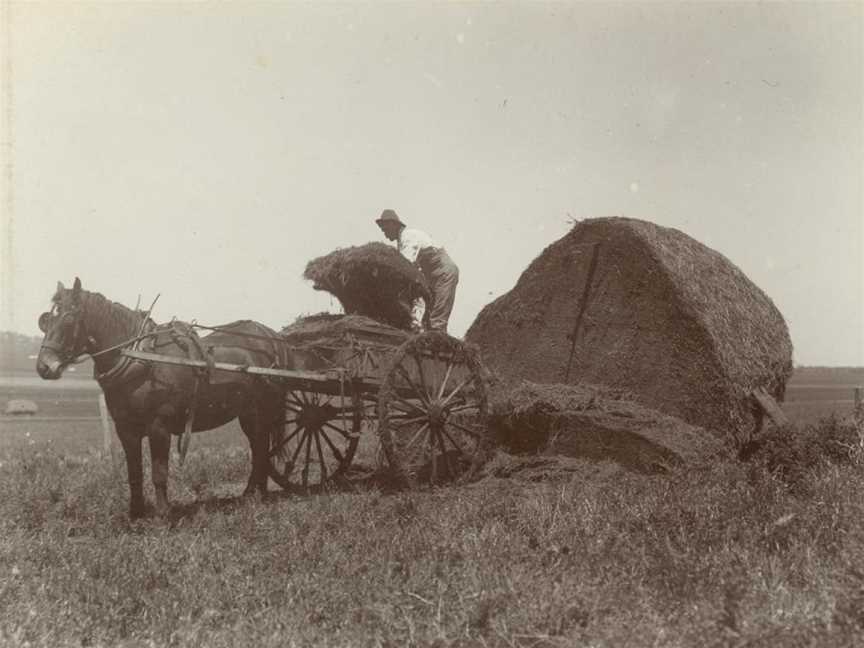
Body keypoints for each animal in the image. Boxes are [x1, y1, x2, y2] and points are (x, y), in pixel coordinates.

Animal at [35, 278, 286, 516]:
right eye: (46, 321)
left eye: (69, 319)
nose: (44, 367)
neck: (141, 359)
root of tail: (270, 337)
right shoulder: (125, 428)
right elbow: (134, 473)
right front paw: (136, 513)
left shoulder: (159, 426)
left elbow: (159, 472)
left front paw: (163, 513)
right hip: (248, 414)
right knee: (259, 448)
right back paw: (255, 493)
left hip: (260, 411)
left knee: (261, 448)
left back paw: (254, 495)